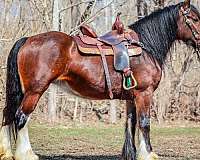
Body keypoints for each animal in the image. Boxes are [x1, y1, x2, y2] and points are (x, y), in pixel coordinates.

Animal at [0, 0, 200, 160]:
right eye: (195, 19)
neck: (144, 48)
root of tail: (27, 40)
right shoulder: (144, 93)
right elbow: (144, 123)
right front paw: (149, 154)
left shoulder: (131, 97)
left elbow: (131, 123)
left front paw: (131, 153)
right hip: (35, 91)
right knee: (21, 117)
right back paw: (26, 154)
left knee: (7, 114)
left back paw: (7, 152)